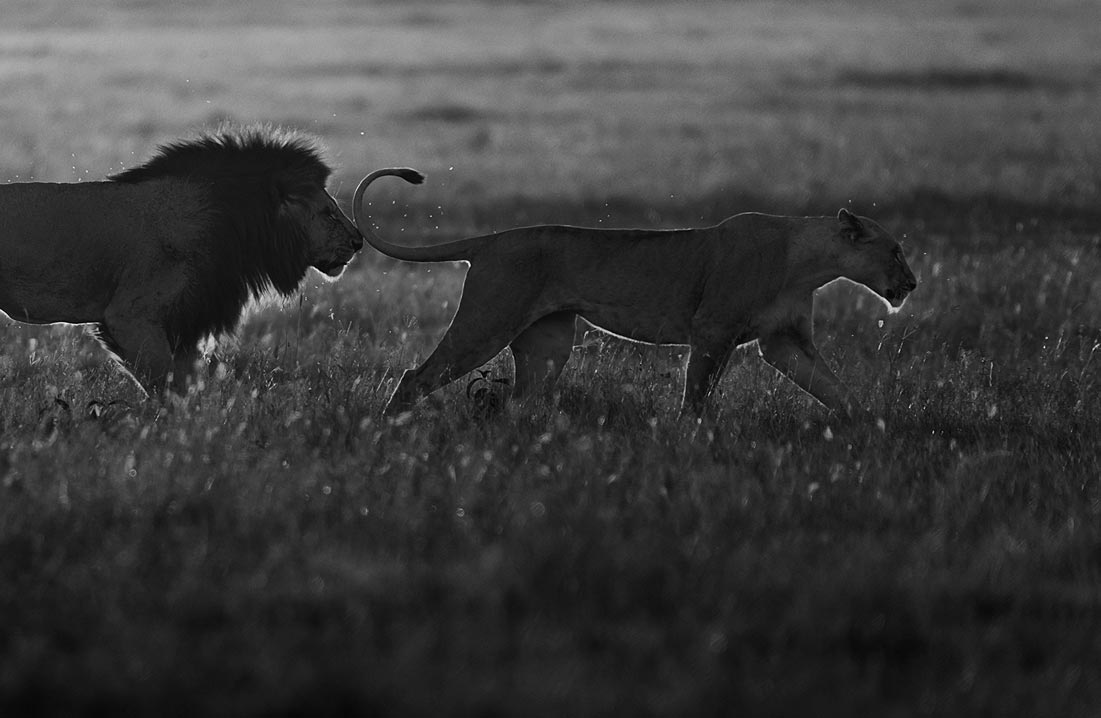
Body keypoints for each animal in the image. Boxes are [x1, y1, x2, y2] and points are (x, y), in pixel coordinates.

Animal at [0, 125, 366, 395]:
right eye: (328, 212)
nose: (358, 241)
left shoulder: (187, 322)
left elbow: (187, 385)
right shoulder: (131, 316)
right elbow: (166, 388)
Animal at [353, 169, 918, 417]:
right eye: (894, 252)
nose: (912, 283)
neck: (807, 265)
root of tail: (491, 239)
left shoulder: (785, 341)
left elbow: (835, 388)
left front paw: (875, 429)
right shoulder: (713, 330)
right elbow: (697, 396)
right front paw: (691, 442)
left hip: (548, 341)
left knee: (519, 400)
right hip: (487, 321)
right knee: (416, 375)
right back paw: (390, 431)